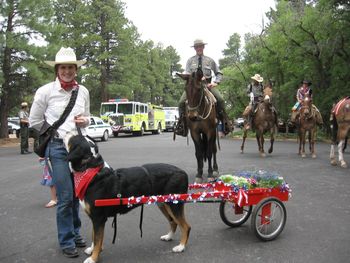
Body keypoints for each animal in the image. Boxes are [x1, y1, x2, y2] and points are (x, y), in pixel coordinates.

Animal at [65, 135, 191, 263]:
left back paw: (181, 246)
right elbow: (94, 237)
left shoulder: (98, 218)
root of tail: (182, 172)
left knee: (186, 226)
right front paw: (92, 250)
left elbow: (97, 239)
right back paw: (169, 236)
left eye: (72, 138)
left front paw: (93, 258)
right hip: (163, 204)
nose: (66, 134)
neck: (90, 171)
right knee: (173, 222)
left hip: (174, 204)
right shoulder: (94, 218)